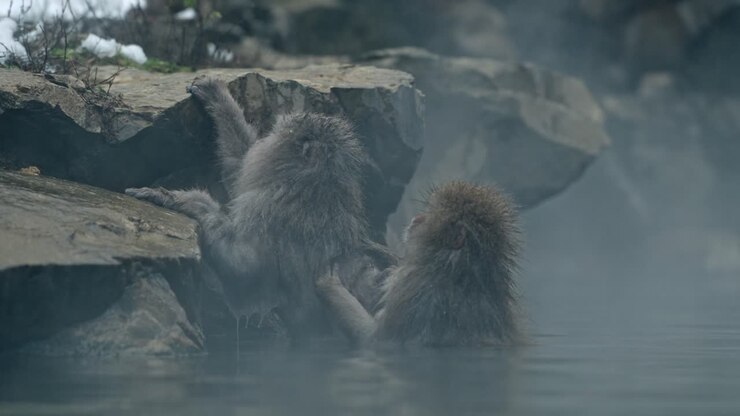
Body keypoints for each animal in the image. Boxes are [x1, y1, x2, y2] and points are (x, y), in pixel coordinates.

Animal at [125, 77, 389, 342]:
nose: (268, 138)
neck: (318, 184)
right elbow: (240, 166)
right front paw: (218, 100)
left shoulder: (267, 206)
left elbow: (245, 266)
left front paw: (187, 202)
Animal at [315, 181, 523, 347]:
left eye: (430, 215)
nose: (417, 218)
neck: (461, 267)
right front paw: (385, 255)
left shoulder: (415, 288)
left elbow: (375, 340)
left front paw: (328, 285)